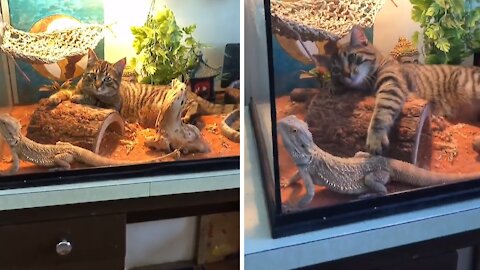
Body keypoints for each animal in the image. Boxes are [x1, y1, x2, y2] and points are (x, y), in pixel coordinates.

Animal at [326, 25, 480, 156]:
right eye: (336, 70)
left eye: (352, 57)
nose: (346, 74)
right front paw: (334, 85)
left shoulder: (392, 84)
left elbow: (380, 115)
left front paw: (375, 139)